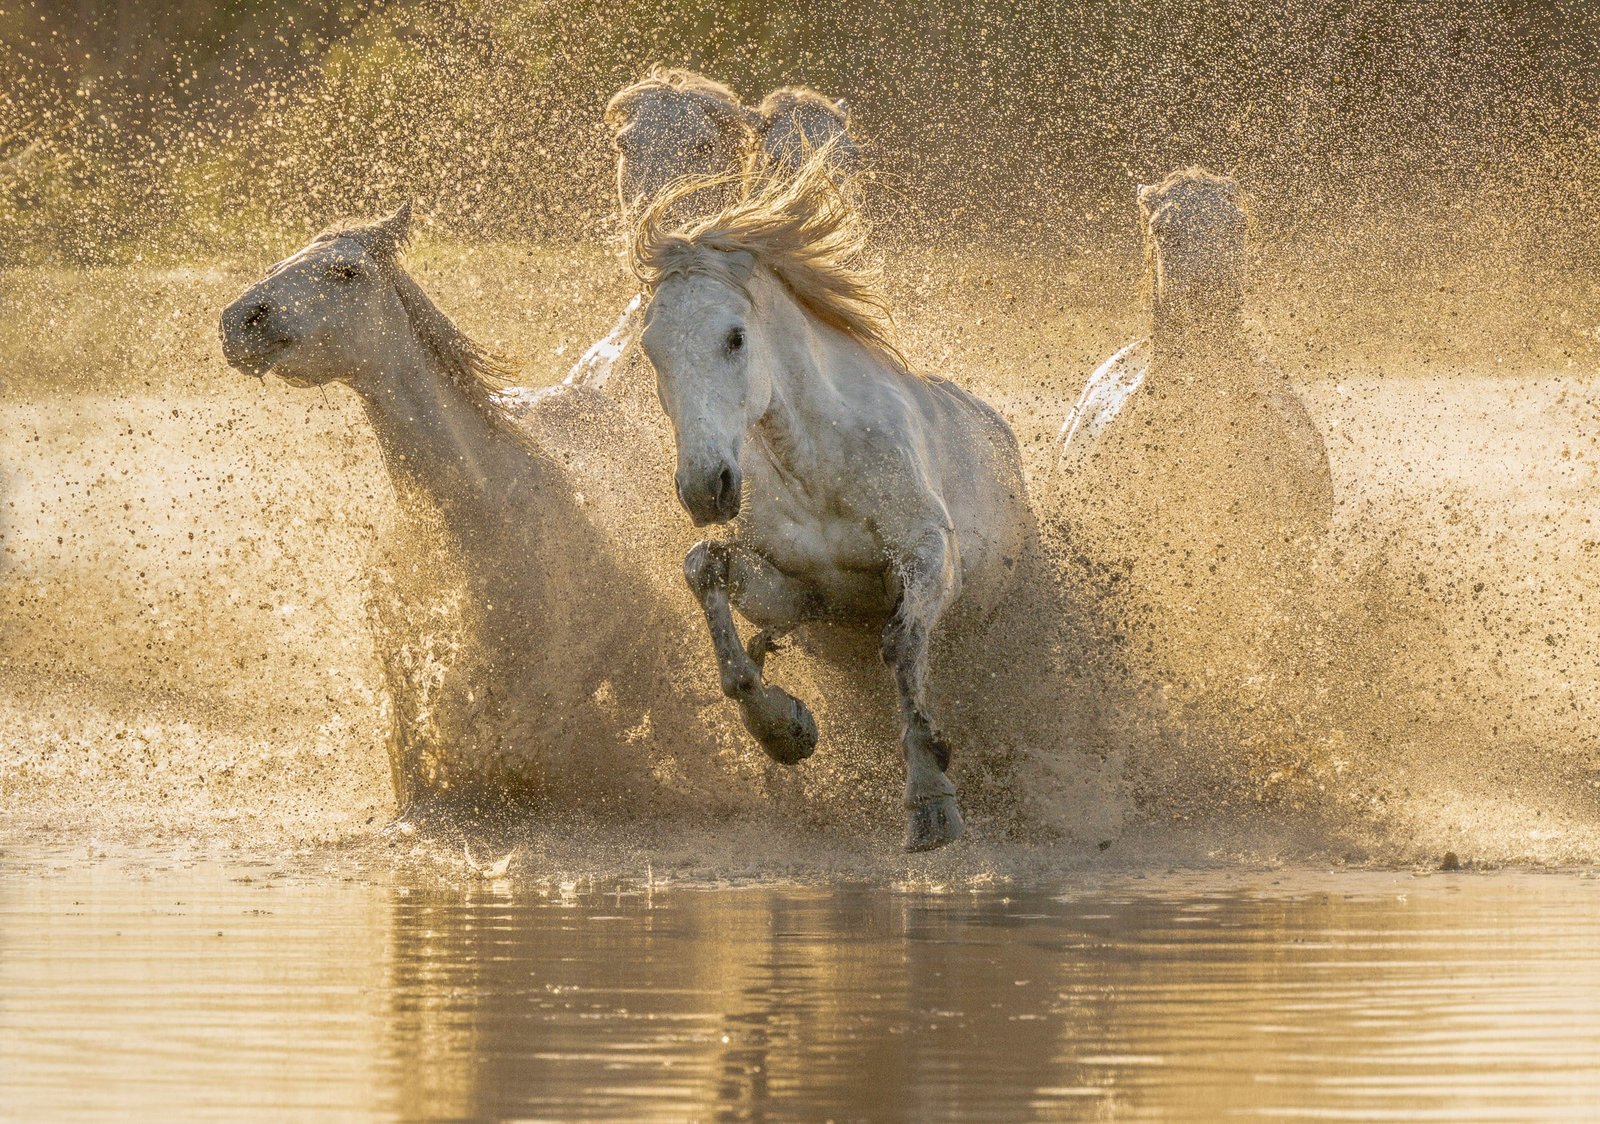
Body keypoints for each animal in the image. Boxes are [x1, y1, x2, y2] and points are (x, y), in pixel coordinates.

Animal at [630, 152, 1030, 851]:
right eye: (652, 349)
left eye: (735, 337)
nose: (706, 487)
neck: (820, 466)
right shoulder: (815, 597)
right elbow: (705, 569)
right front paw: (783, 727)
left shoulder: (928, 555)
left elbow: (900, 646)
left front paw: (931, 802)